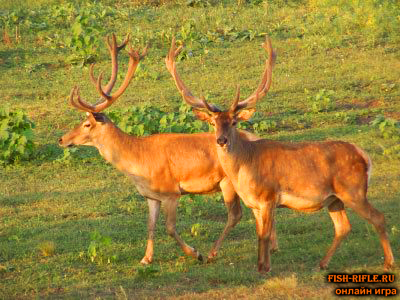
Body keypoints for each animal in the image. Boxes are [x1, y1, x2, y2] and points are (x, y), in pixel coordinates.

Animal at [58, 34, 278, 264]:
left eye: (87, 124)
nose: (62, 139)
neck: (137, 161)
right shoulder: (151, 196)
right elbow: (150, 226)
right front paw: (146, 259)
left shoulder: (171, 192)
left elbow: (170, 228)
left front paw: (195, 253)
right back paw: (272, 246)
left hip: (228, 182)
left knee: (236, 214)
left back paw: (213, 252)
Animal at [165, 36, 394, 274]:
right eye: (213, 123)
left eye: (234, 122)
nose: (221, 140)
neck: (245, 166)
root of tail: (365, 157)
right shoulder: (254, 204)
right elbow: (259, 234)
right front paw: (260, 266)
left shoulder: (268, 196)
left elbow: (265, 235)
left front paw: (264, 268)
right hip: (334, 198)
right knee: (343, 227)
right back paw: (322, 263)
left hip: (353, 190)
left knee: (378, 217)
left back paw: (388, 262)